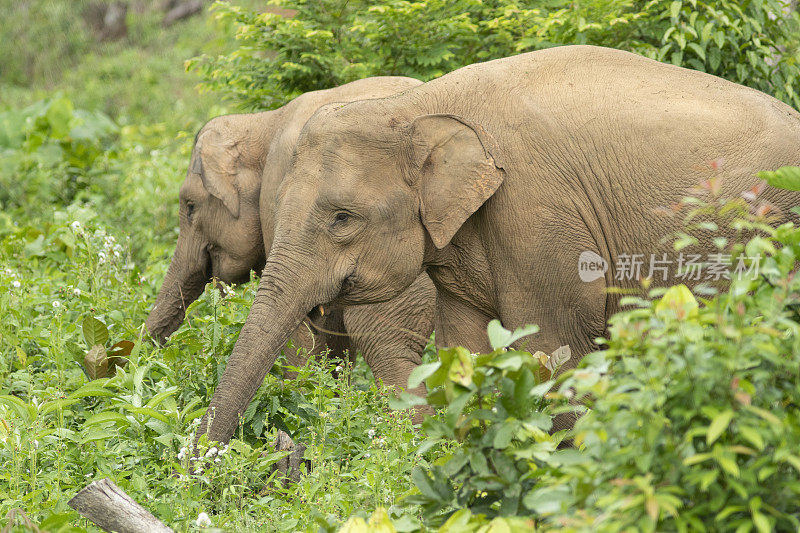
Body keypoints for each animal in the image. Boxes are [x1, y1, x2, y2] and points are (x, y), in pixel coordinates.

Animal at [192, 42, 800, 444]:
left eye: (343, 218)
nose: (200, 466)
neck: (420, 108)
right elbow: (466, 348)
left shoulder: (537, 215)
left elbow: (554, 349)